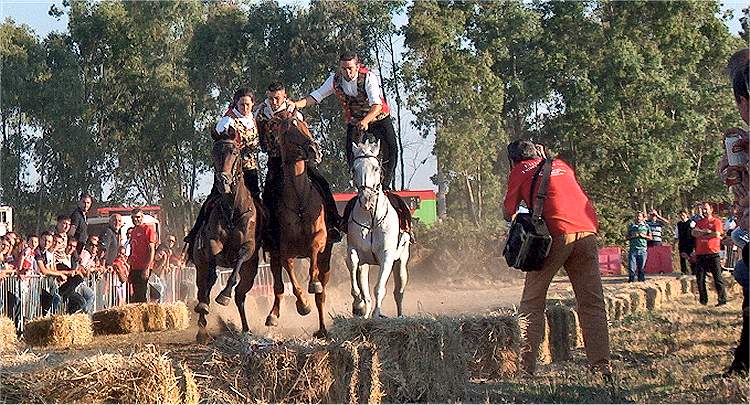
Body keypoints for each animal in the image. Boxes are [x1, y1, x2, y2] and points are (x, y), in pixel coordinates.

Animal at [189, 138, 263, 342]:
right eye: (213, 152)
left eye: (235, 152)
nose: (223, 181)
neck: (232, 211)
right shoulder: (212, 244)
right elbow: (211, 272)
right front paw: (207, 302)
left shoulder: (249, 247)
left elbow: (239, 261)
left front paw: (224, 295)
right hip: (199, 266)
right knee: (201, 288)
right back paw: (202, 329)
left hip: (250, 274)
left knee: (240, 296)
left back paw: (245, 328)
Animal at [263, 113, 334, 338]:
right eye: (287, 131)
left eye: (305, 125)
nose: (314, 149)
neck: (299, 198)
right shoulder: (285, 250)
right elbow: (291, 279)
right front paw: (303, 305)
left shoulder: (320, 238)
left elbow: (313, 249)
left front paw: (313, 284)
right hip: (273, 256)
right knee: (278, 286)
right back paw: (273, 315)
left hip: (327, 261)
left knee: (322, 295)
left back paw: (322, 328)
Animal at [347, 140, 411, 318]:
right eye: (354, 169)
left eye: (375, 168)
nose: (366, 200)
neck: (371, 219)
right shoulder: (354, 251)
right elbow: (353, 267)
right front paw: (358, 304)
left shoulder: (387, 256)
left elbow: (379, 288)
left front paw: (377, 314)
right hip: (366, 265)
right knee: (365, 288)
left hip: (402, 260)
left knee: (399, 292)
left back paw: (400, 315)